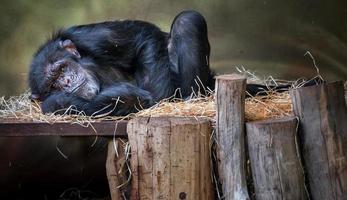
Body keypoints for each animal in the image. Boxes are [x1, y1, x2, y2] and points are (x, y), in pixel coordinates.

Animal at [29, 9, 215, 115]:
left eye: (61, 68)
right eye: (53, 85)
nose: (67, 81)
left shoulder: (91, 37)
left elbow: (142, 36)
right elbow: (126, 99)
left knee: (187, 20)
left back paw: (191, 99)